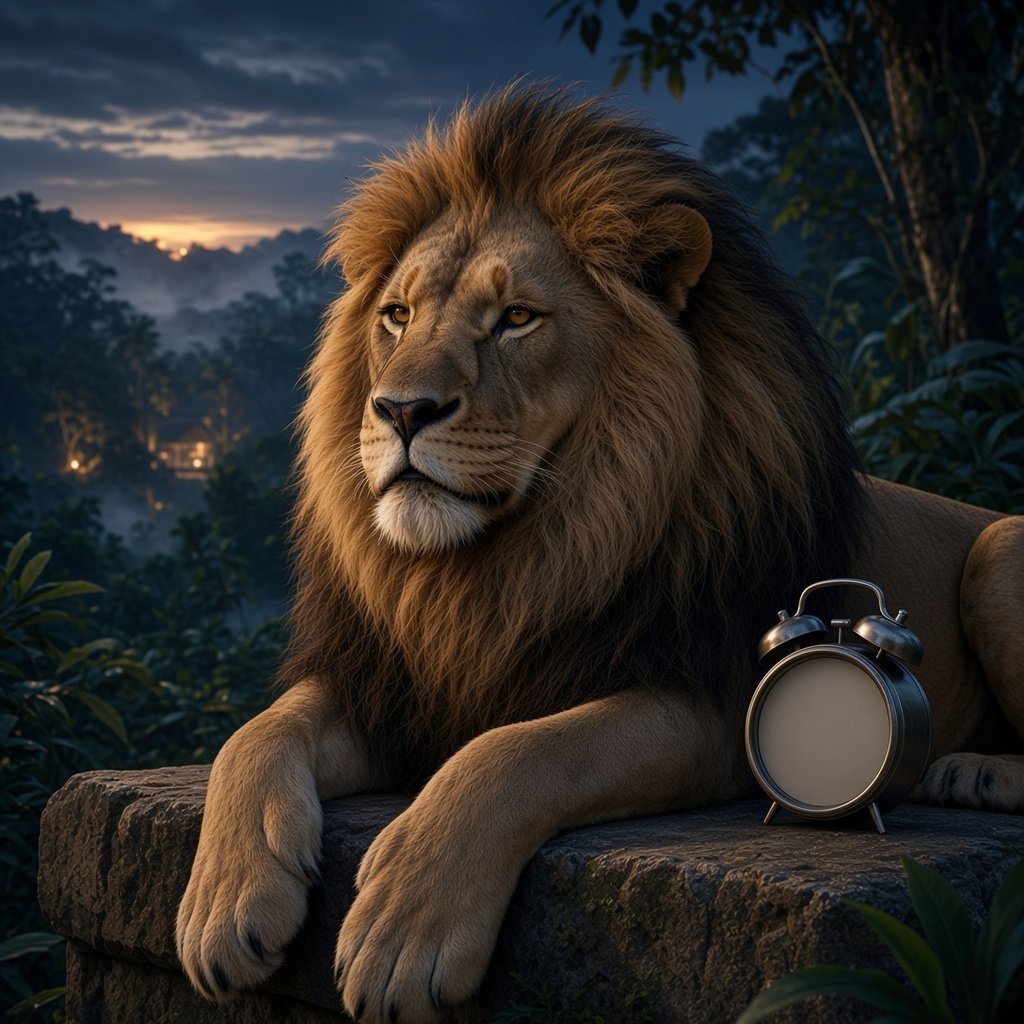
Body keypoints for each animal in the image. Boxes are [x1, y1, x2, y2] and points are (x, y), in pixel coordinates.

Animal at [175, 87, 1024, 1023]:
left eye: (516, 319)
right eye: (396, 315)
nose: (399, 410)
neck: (494, 569)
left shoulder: (707, 706)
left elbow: (518, 752)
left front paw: (403, 928)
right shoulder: (395, 688)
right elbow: (254, 735)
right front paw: (223, 904)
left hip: (998, 547)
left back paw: (974, 773)